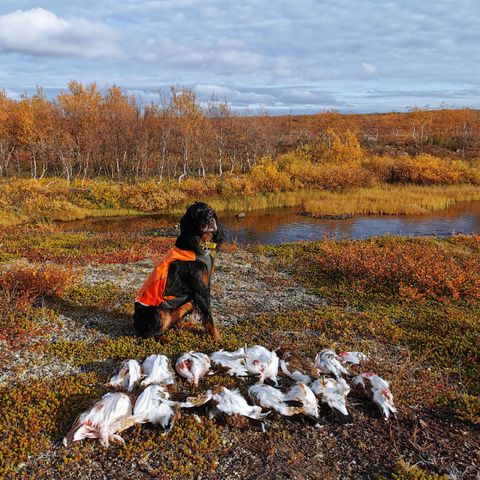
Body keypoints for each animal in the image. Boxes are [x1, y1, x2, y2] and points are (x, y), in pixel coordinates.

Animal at [134, 202, 224, 342]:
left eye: (210, 211)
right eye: (198, 213)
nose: (210, 220)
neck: (199, 243)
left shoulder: (205, 286)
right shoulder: (200, 291)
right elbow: (209, 317)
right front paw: (217, 338)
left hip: (188, 303)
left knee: (173, 323)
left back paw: (187, 325)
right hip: (157, 313)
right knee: (148, 334)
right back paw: (164, 339)